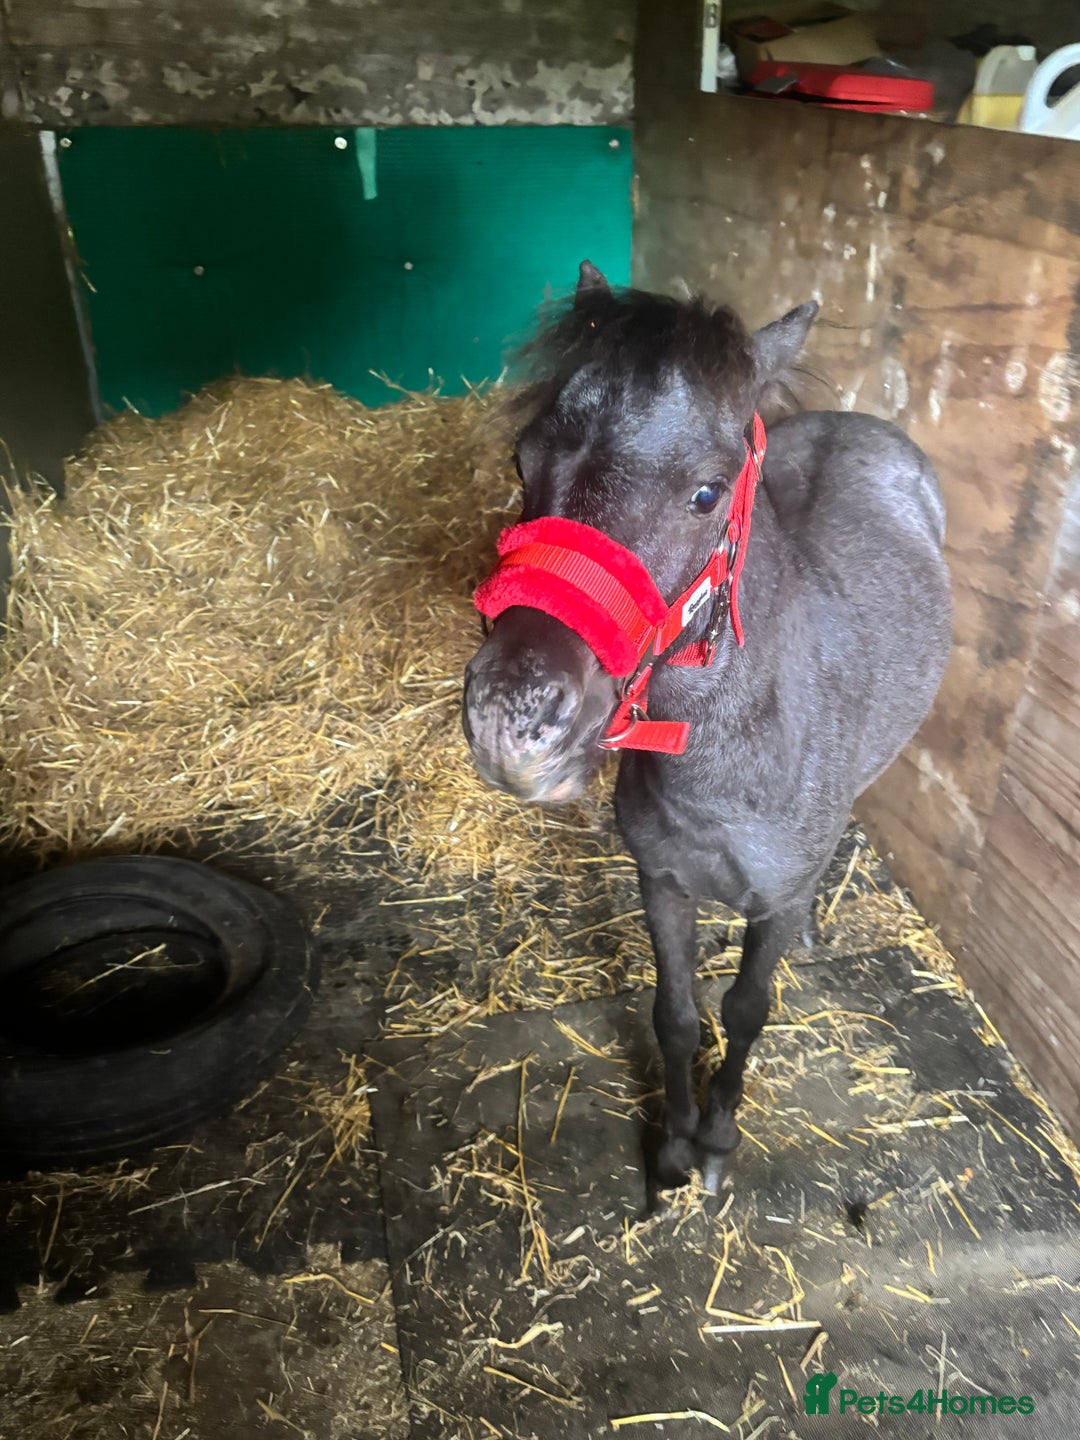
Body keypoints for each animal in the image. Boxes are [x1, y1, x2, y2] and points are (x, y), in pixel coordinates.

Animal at [462, 261, 952, 1194]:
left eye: (705, 494)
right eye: (522, 458)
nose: (512, 716)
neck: (726, 768)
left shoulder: (775, 903)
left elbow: (747, 1008)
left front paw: (719, 1140)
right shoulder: (662, 884)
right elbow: (678, 1014)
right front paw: (673, 1147)